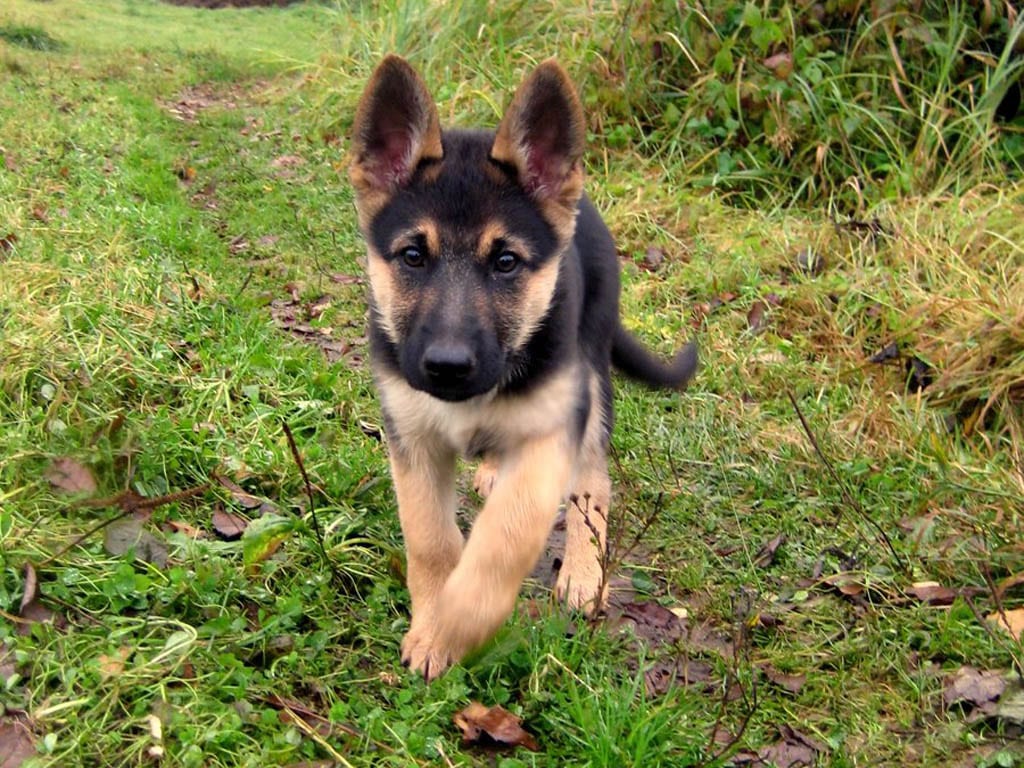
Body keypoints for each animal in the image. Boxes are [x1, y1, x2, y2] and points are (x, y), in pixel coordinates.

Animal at [350, 58, 696, 679]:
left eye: (506, 262)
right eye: (413, 255)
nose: (447, 367)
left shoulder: (551, 434)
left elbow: (504, 539)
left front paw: (454, 623)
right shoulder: (411, 437)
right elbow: (429, 537)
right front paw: (432, 617)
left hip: (593, 384)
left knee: (592, 486)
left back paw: (583, 573)